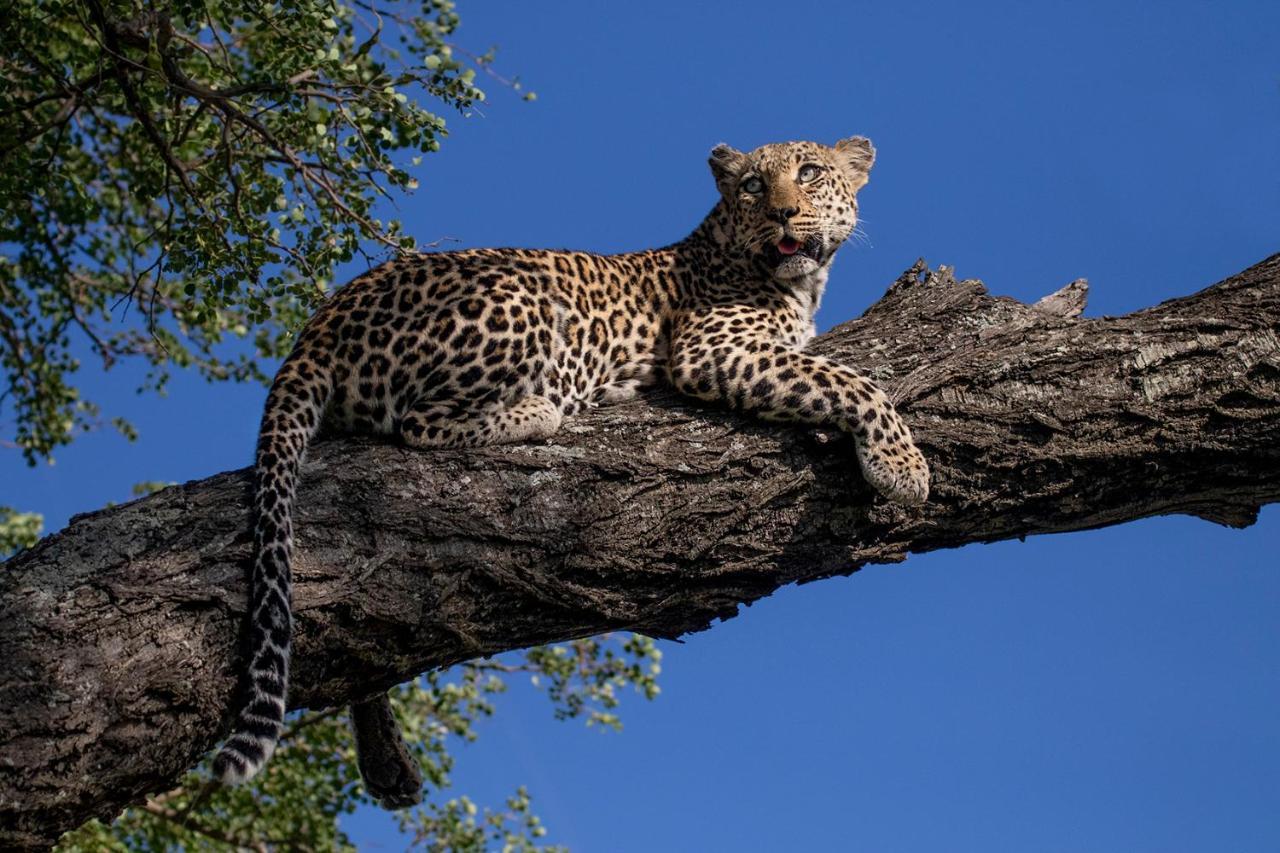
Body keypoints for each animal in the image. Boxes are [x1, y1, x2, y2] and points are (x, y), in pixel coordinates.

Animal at [209, 134, 931, 804]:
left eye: (809, 173)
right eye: (754, 185)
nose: (783, 212)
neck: (797, 284)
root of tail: (319, 324)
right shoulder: (713, 347)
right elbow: (849, 378)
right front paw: (903, 465)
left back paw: (387, 761)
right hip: (519, 297)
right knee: (420, 421)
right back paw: (543, 409)